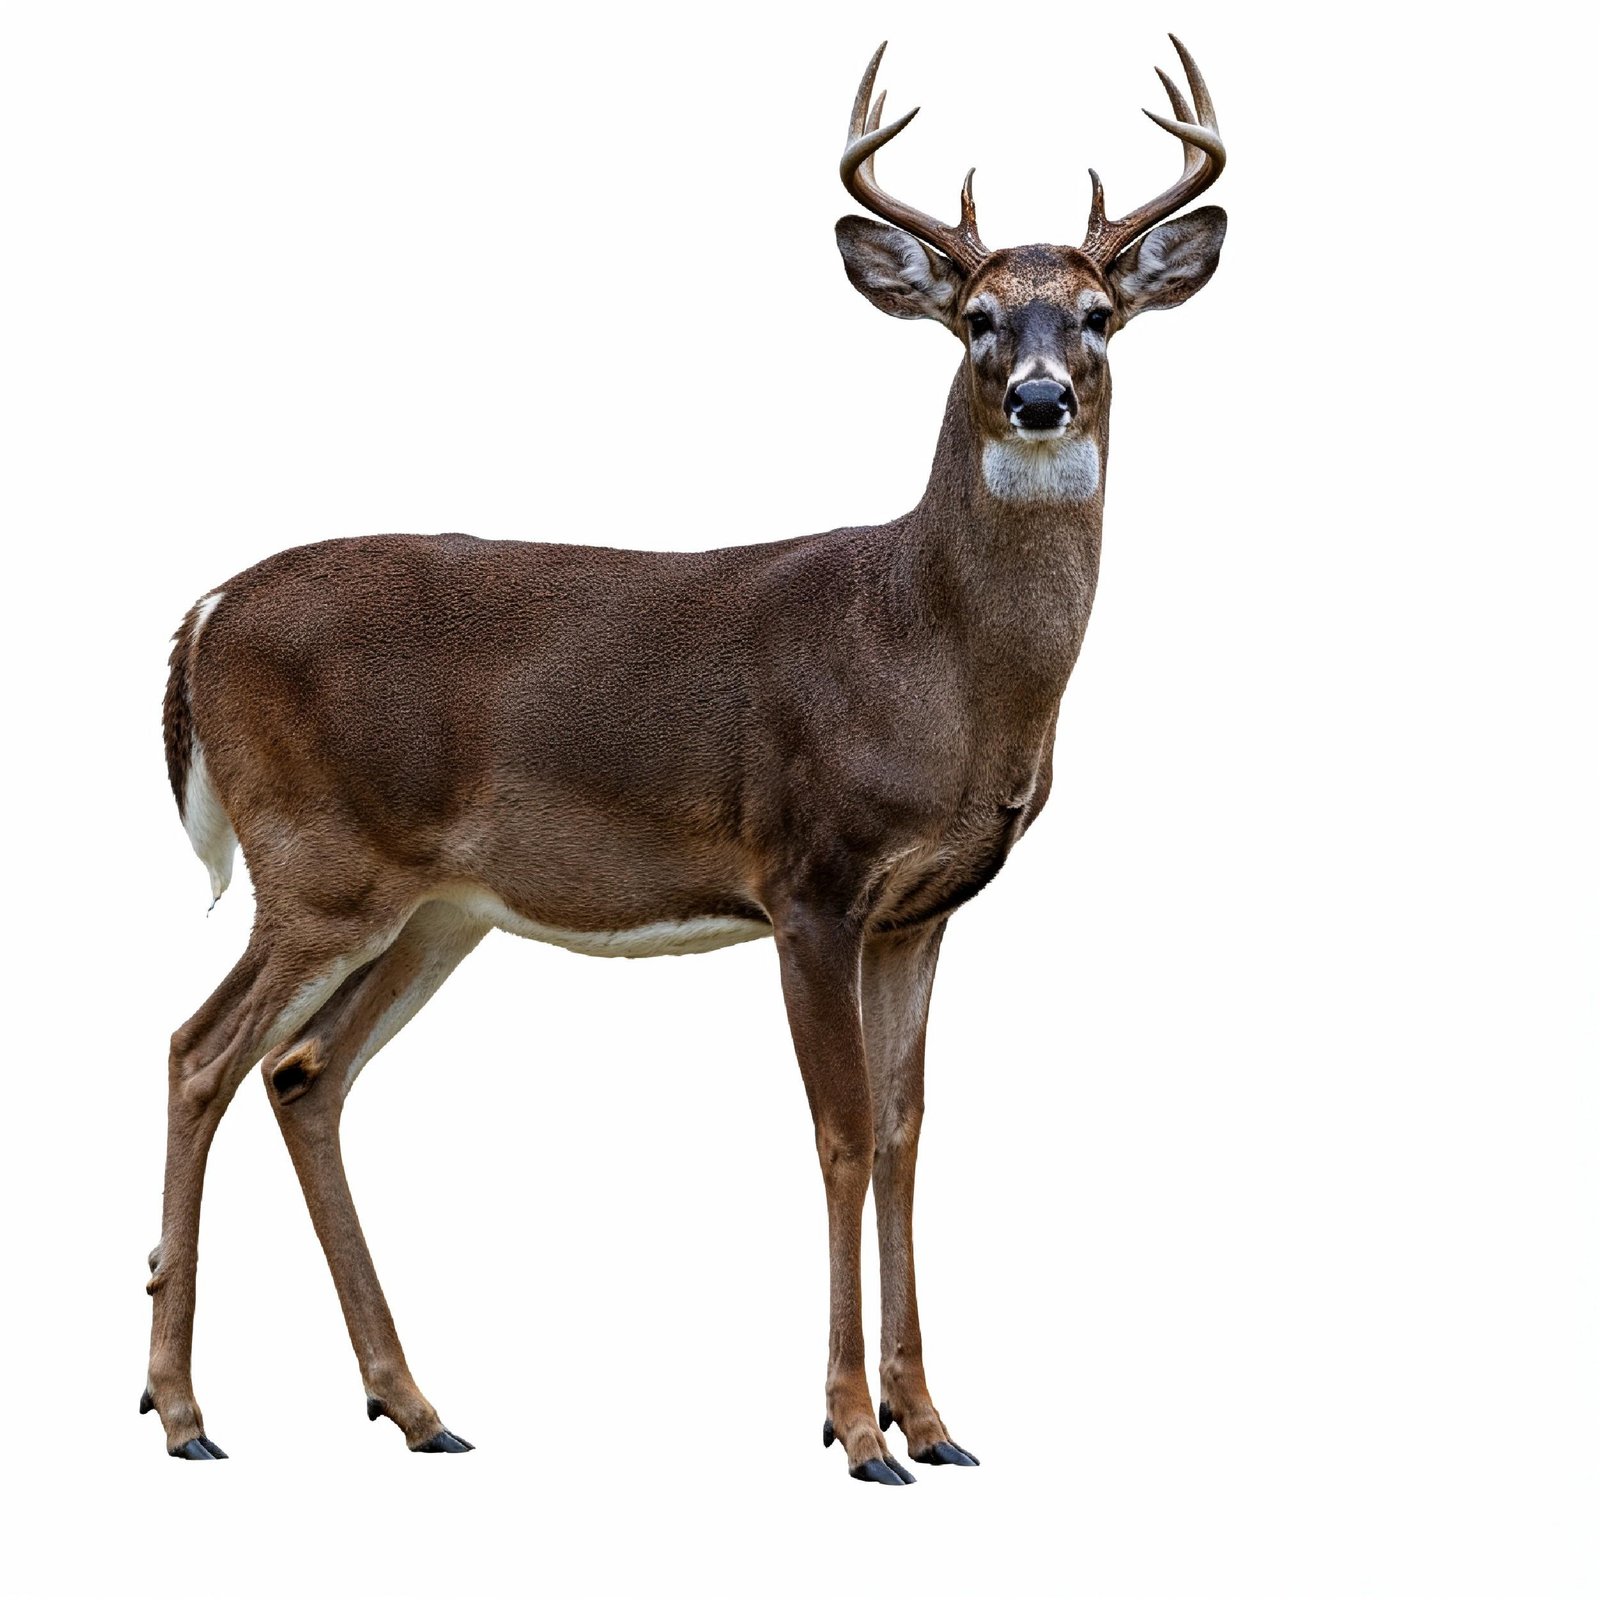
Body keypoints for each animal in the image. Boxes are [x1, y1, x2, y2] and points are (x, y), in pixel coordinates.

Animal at [141, 36, 1226, 1481]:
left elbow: (905, 1133)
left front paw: (935, 1422)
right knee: (199, 1052)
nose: (1041, 399)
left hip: (433, 908)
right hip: (316, 863)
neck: (926, 649)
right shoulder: (810, 877)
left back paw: (415, 1407)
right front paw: (852, 1430)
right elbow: (837, 1134)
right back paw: (182, 1410)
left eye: (1100, 314)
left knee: (303, 1073)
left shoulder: (923, 911)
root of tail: (204, 611)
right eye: (979, 317)